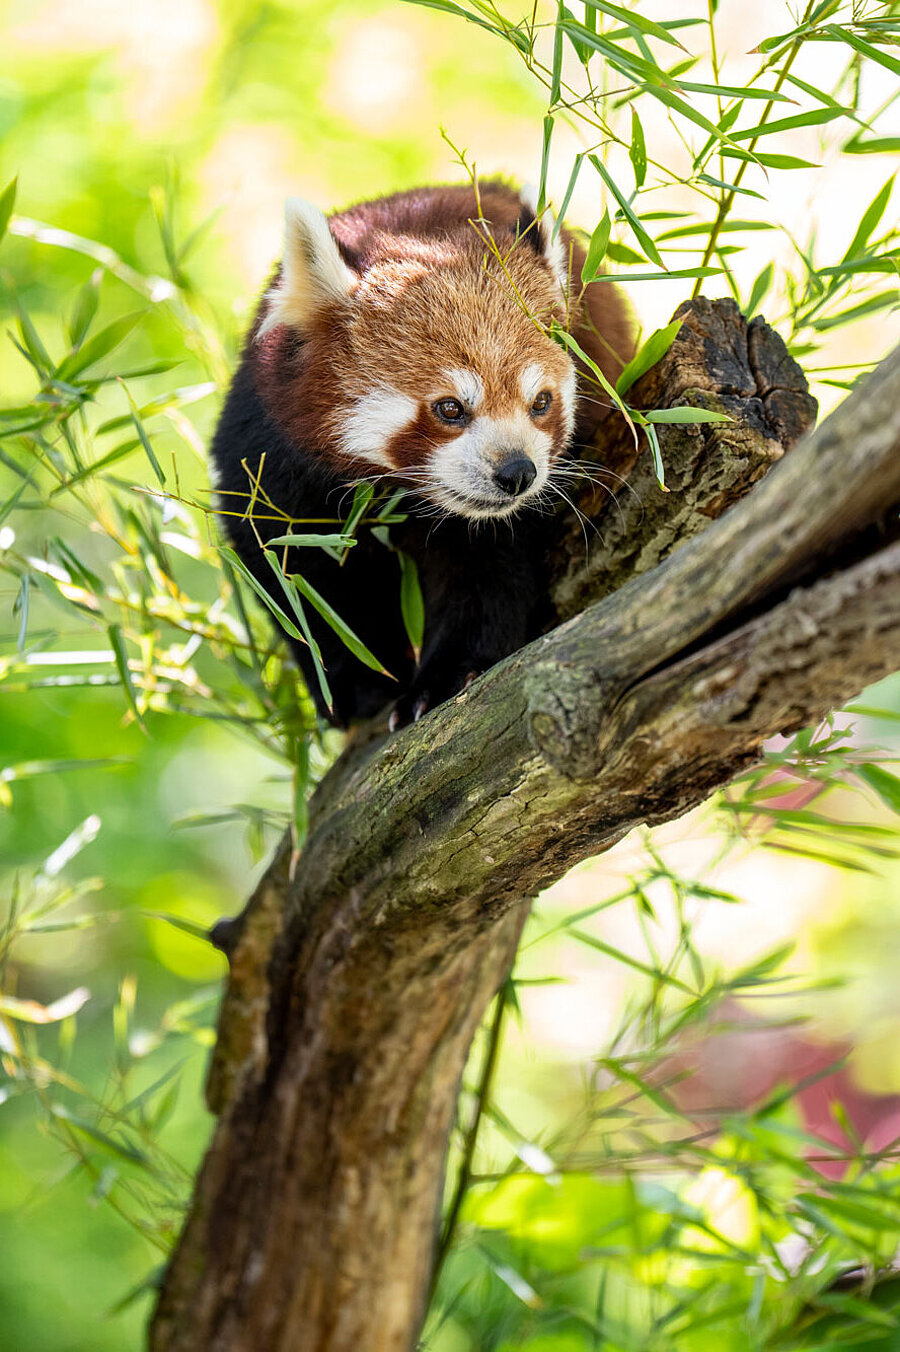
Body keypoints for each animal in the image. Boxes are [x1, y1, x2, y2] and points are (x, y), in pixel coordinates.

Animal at [209, 182, 629, 730]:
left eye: (541, 402)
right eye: (450, 407)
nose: (517, 472)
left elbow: (486, 574)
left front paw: (441, 680)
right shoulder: (270, 449)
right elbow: (293, 570)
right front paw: (354, 683)